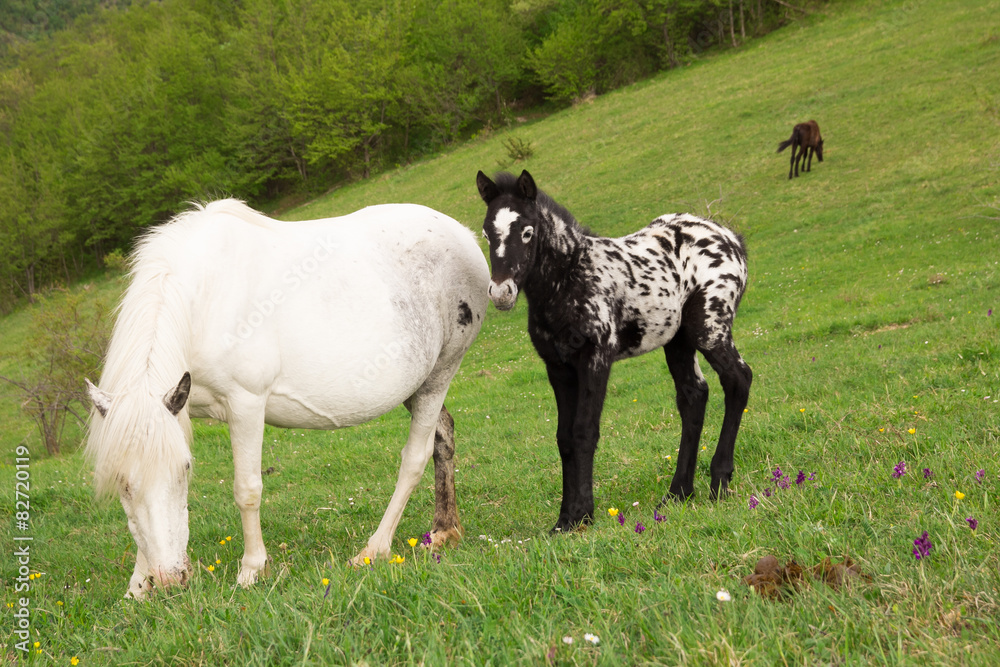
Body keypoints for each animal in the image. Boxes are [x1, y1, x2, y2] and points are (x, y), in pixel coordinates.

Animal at [84, 199, 489, 599]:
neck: (205, 300)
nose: (169, 579)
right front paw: (139, 584)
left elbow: (247, 489)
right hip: (416, 385)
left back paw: (374, 550)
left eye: (185, 469)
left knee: (415, 458)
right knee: (443, 436)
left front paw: (252, 569)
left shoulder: (246, 404)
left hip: (439, 375)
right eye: (121, 483)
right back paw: (443, 531)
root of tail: (463, 236)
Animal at [476, 170, 752, 532]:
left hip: (709, 329)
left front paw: (582, 514)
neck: (571, 278)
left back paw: (719, 482)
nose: (501, 292)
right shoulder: (558, 367)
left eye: (527, 232)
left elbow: (583, 432)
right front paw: (565, 519)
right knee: (693, 396)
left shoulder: (596, 359)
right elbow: (564, 438)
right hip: (678, 341)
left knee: (738, 379)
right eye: (486, 233)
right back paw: (678, 493)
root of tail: (730, 237)